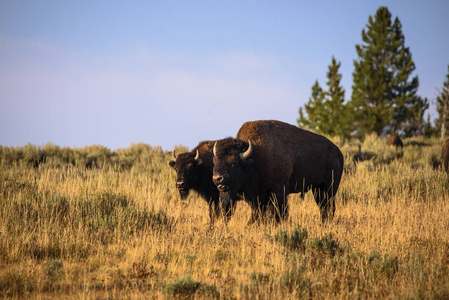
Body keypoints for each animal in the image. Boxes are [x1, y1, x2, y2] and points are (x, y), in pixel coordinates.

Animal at [213, 119, 344, 223]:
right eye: (215, 161)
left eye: (233, 163)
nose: (217, 178)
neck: (255, 157)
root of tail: (338, 152)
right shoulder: (258, 198)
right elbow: (258, 213)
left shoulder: (278, 191)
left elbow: (278, 212)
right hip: (317, 189)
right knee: (323, 207)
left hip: (329, 188)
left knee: (329, 207)